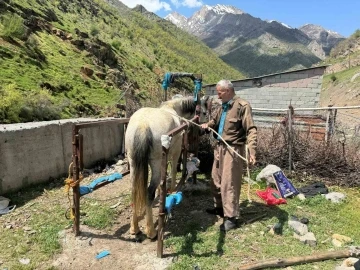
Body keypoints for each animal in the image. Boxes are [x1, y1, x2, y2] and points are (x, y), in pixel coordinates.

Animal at [126, 95, 210, 238]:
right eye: (203, 112)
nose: (203, 130)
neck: (173, 109)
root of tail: (143, 125)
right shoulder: (175, 153)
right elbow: (174, 171)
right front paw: (172, 191)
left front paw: (162, 192)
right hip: (155, 164)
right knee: (149, 193)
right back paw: (151, 232)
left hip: (133, 163)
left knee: (134, 191)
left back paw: (134, 228)